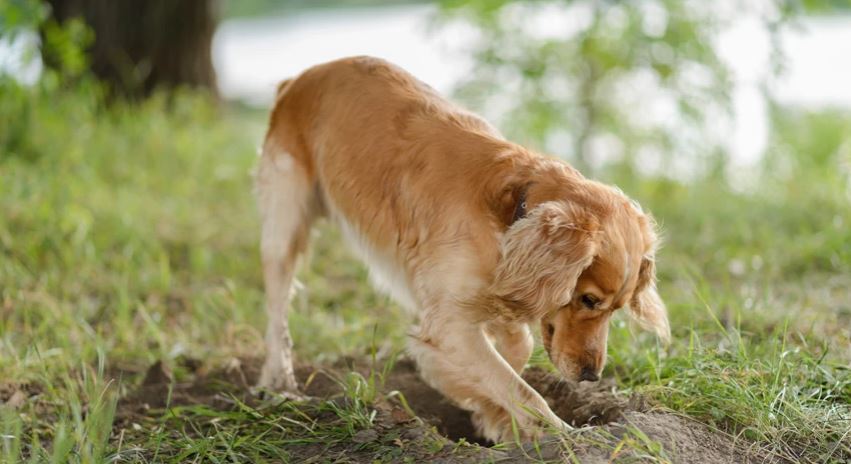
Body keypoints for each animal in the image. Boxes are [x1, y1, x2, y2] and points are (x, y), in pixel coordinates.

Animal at [256, 55, 668, 442]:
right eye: (588, 300)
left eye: (616, 309)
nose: (591, 376)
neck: (510, 214)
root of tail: (301, 77)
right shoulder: (450, 322)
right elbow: (521, 390)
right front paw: (558, 433)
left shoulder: (495, 293)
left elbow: (516, 352)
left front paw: (490, 415)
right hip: (283, 226)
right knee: (277, 313)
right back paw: (279, 382)